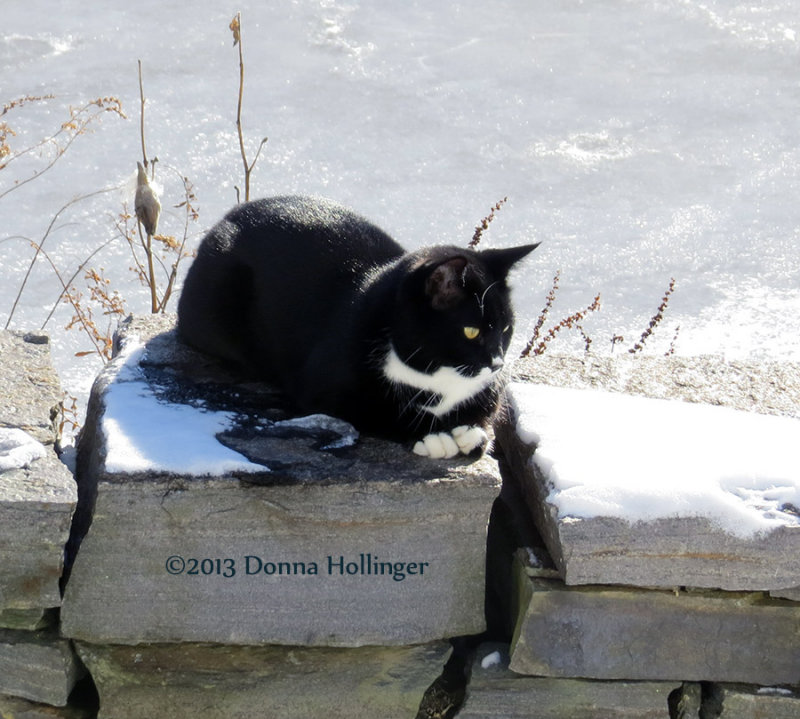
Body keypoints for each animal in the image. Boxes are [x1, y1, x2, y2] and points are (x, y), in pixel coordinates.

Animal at [177, 194, 536, 458]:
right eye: (471, 331)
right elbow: (381, 412)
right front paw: (433, 436)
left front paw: (471, 431)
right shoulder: (326, 387)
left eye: (506, 329)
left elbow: (488, 409)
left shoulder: (487, 389)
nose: (497, 363)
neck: (436, 379)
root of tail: (226, 218)